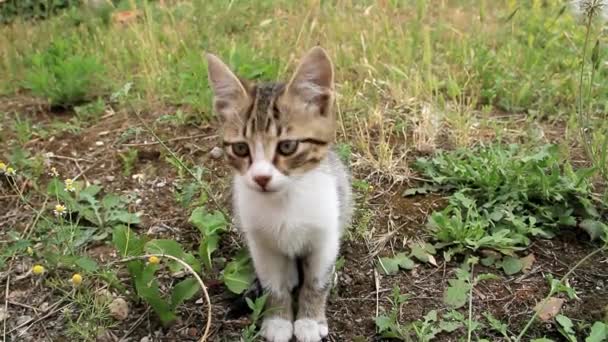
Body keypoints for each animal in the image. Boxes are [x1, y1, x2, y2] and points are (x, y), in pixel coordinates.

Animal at [207, 46, 354, 342]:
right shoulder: (261, 246)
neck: (284, 200)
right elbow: (273, 285)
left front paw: (310, 321)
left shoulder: (324, 236)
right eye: (241, 148)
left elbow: (317, 282)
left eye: (287, 146)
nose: (261, 178)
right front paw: (278, 320)